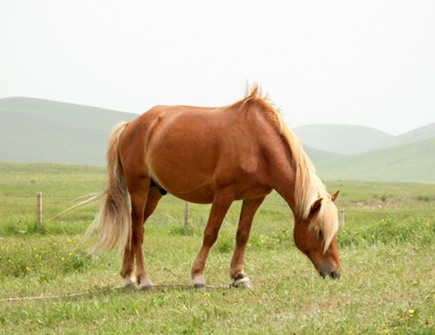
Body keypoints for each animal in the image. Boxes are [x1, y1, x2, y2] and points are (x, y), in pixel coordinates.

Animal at [87, 86, 342, 288]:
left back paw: (128, 277)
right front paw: (197, 276)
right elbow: (211, 233)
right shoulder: (224, 194)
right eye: (318, 231)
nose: (334, 272)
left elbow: (242, 235)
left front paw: (239, 276)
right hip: (138, 188)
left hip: (153, 192)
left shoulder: (255, 197)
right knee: (138, 232)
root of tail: (130, 125)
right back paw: (144, 280)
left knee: (133, 227)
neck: (258, 144)